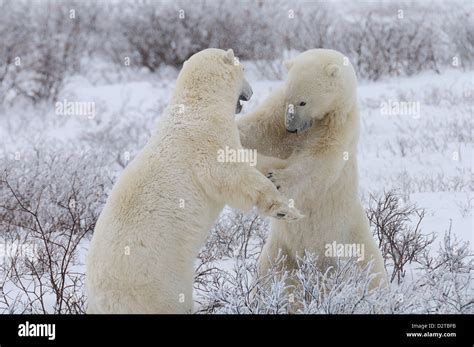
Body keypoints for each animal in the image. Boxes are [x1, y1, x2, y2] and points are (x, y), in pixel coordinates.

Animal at [239, 48, 386, 288]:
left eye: (303, 102)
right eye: (289, 100)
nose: (290, 128)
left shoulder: (340, 127)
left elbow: (318, 163)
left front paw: (277, 179)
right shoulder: (278, 112)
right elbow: (260, 130)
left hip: (351, 239)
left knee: (369, 272)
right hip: (281, 249)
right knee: (270, 275)